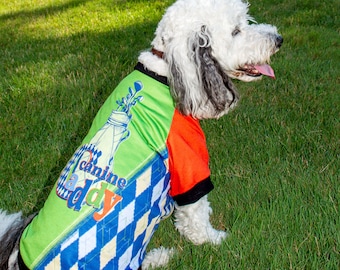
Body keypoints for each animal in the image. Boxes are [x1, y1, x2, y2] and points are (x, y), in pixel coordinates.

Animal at [0, 0, 282, 268]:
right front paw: (215, 240)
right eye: (236, 31)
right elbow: (196, 217)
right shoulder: (188, 164)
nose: (278, 39)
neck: (164, 71)